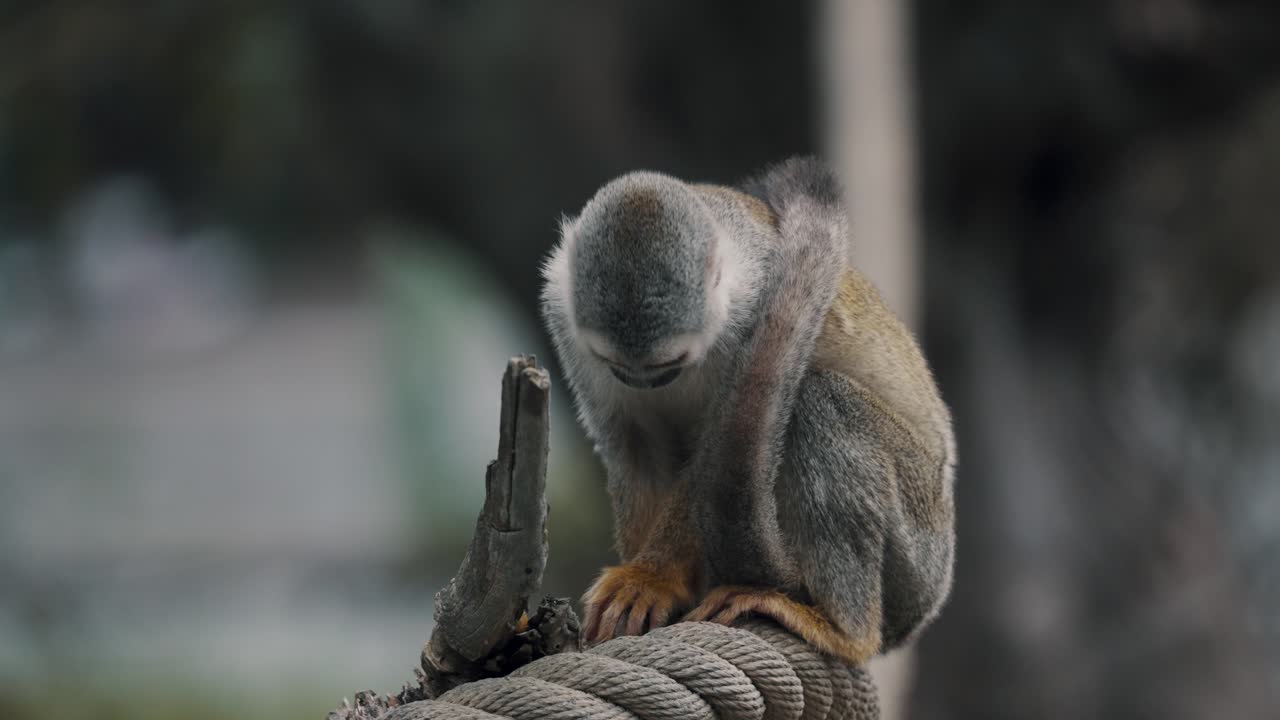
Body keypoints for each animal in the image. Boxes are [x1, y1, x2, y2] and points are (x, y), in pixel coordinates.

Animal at [539, 157, 955, 665]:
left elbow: (712, 454)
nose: (641, 382)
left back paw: (844, 629)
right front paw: (644, 581)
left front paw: (652, 577)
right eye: (615, 364)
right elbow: (632, 447)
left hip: (918, 546)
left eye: (668, 363)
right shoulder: (561, 313)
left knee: (819, 400)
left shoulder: (755, 308)